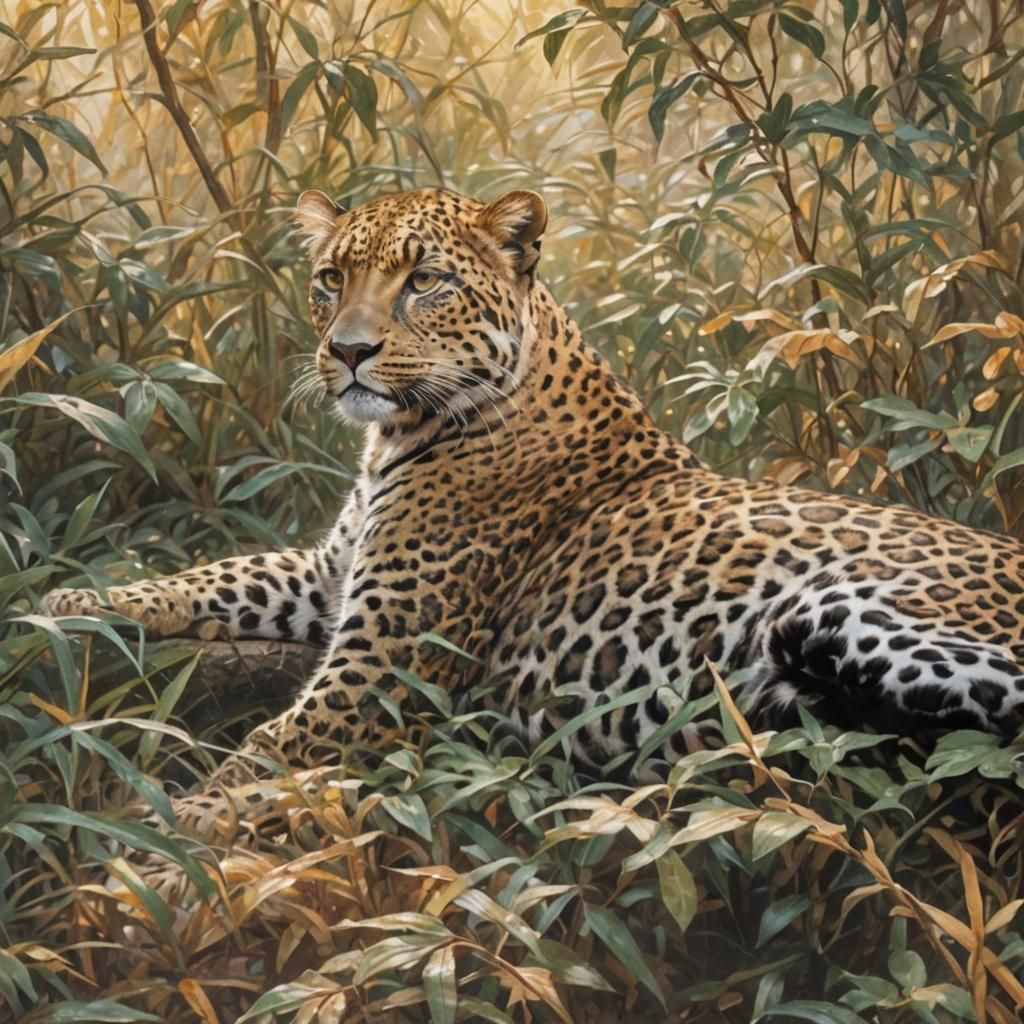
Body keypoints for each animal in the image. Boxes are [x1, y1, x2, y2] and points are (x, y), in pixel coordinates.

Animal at [42, 185, 1024, 793]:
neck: (394, 437)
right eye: (331, 279)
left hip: (846, 618)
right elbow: (218, 575)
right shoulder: (331, 577)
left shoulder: (381, 669)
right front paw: (72, 600)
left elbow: (255, 766)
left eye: (423, 281)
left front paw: (149, 863)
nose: (347, 350)